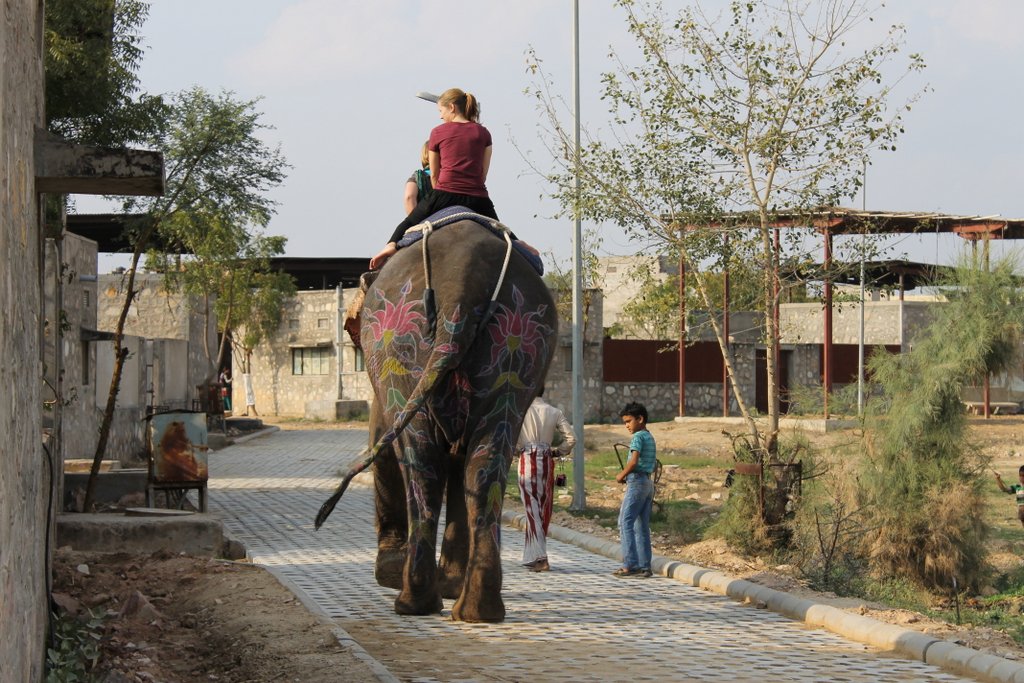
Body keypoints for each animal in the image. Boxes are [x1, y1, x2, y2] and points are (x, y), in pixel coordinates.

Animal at [317, 218, 557, 623]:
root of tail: (461, 282)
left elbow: (384, 444)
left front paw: (392, 574)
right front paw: (450, 586)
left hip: (397, 350)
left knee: (418, 458)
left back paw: (412, 603)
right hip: (520, 348)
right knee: (485, 461)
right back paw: (476, 611)